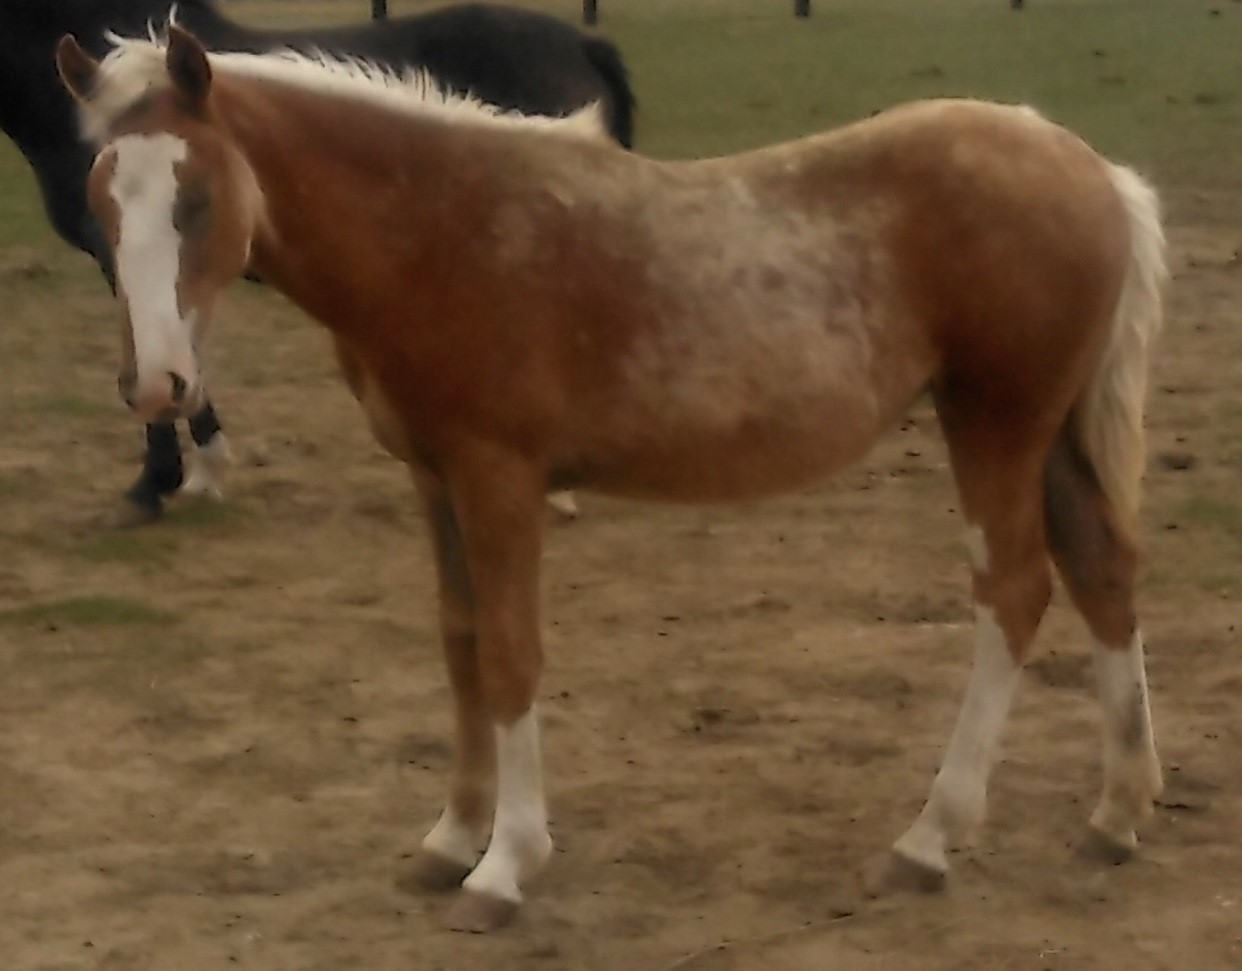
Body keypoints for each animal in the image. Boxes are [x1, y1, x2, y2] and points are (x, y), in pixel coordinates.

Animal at [56, 25, 1167, 932]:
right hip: (1047, 432)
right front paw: (450, 838)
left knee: (1014, 592)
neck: (441, 234)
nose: (157, 385)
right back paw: (1117, 813)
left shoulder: (501, 477)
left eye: (196, 197)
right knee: (1103, 572)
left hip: (994, 423)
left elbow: (511, 655)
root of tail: (1092, 168)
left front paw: (504, 866)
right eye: (100, 199)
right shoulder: (435, 479)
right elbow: (462, 646)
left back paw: (929, 838)